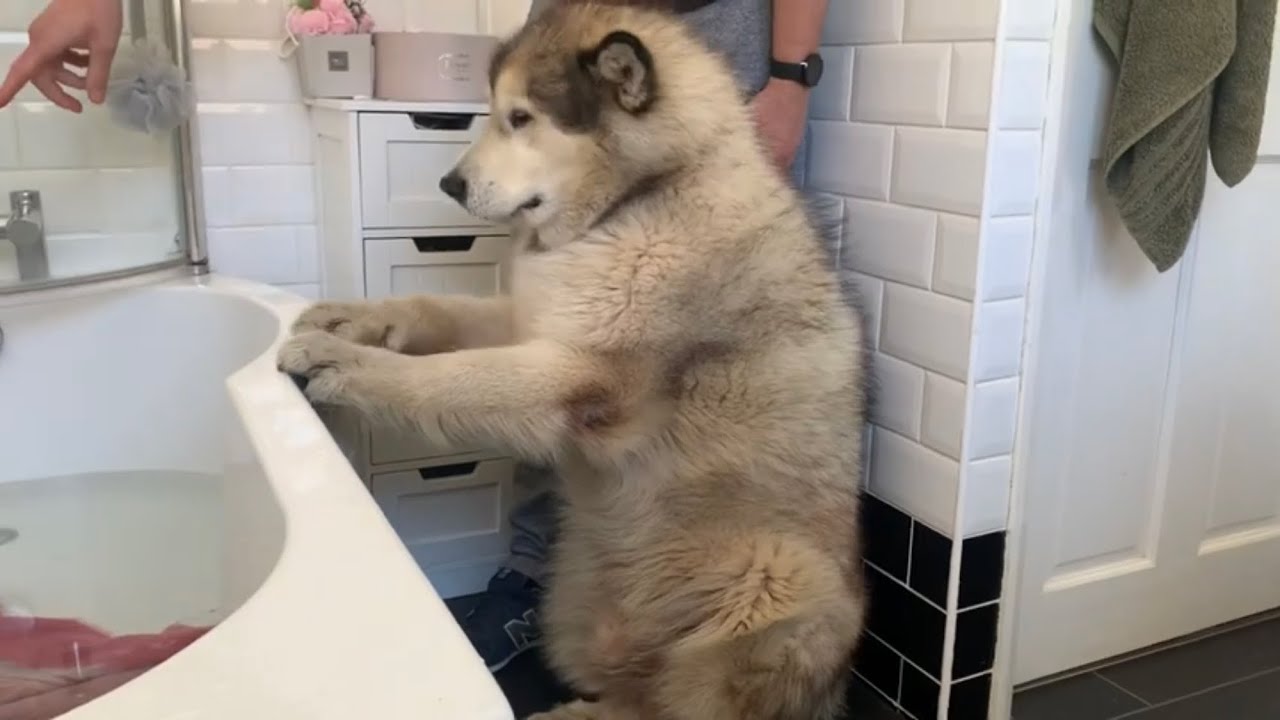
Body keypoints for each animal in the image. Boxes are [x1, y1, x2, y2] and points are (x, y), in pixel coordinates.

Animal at [279, 2, 870, 712]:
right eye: (493, 111)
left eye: (521, 118)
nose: (448, 183)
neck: (638, 201)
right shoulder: (526, 322)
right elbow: (429, 309)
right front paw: (352, 320)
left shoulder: (579, 373)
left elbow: (446, 378)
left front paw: (343, 362)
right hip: (571, 602)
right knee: (629, 696)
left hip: (773, 586)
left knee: (667, 708)